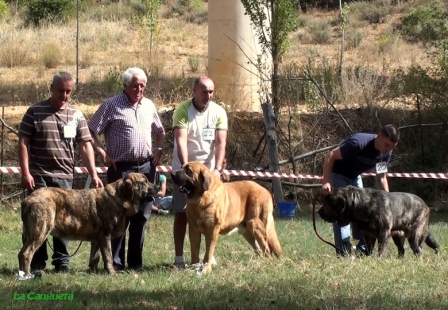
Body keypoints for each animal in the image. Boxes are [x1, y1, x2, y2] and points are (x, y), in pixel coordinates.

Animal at [18, 172, 158, 276]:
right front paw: (111, 272)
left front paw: (94, 273)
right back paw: (28, 275)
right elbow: (108, 256)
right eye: (144, 182)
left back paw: (21, 274)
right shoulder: (105, 236)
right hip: (41, 231)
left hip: (30, 235)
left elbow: (95, 258)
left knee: (21, 253)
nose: (157, 186)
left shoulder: (97, 239)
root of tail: (27, 199)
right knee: (27, 254)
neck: (120, 198)